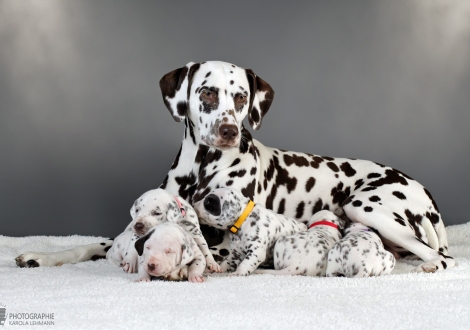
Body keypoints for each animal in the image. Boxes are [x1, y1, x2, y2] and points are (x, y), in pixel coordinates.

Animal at [16, 60, 454, 274]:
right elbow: (92, 244)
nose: (228, 130)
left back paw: (430, 265)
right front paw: (40, 257)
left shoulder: (222, 242)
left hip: (365, 207)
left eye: (242, 97)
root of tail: (426, 194)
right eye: (208, 92)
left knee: (441, 257)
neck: (201, 168)